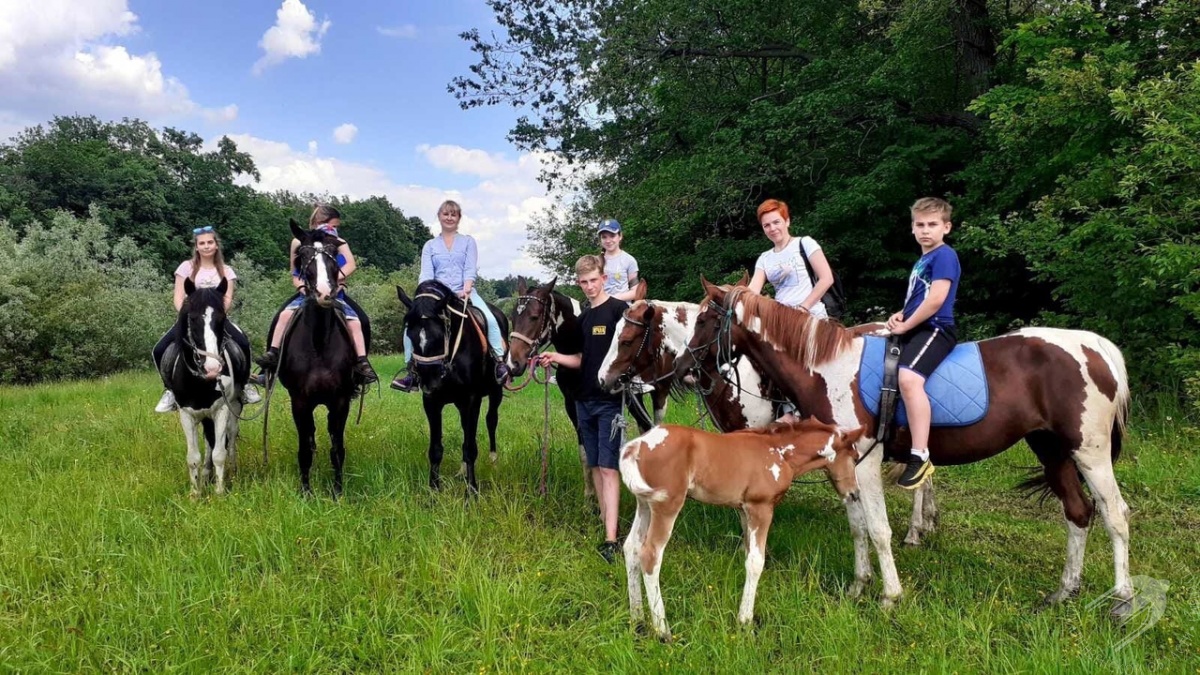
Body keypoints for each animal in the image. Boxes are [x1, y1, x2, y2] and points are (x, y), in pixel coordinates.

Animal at [159, 277, 248, 494]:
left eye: (222, 318)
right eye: (192, 319)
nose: (213, 368)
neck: (200, 382)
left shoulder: (222, 410)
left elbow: (219, 454)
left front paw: (219, 492)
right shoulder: (186, 414)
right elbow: (193, 457)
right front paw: (196, 493)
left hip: (234, 407)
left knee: (230, 438)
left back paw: (232, 473)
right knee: (209, 441)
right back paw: (207, 475)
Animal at [274, 220, 367, 494]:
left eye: (333, 256)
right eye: (303, 255)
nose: (326, 293)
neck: (318, 343)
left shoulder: (340, 401)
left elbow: (337, 450)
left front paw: (337, 491)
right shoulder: (299, 402)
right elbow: (304, 449)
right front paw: (306, 491)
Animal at [396, 278, 504, 494]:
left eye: (440, 335)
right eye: (409, 335)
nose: (431, 383)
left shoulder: (472, 400)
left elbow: (470, 447)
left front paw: (472, 492)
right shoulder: (431, 402)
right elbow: (436, 449)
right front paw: (433, 490)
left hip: (496, 393)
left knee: (491, 421)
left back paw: (493, 461)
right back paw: (462, 471)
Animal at [619, 417, 864, 638]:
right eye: (855, 458)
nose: (854, 494)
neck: (780, 452)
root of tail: (637, 445)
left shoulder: (744, 511)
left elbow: (747, 555)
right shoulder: (760, 508)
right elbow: (756, 562)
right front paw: (745, 622)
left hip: (645, 504)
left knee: (631, 548)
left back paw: (637, 620)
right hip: (667, 504)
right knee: (650, 554)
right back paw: (663, 632)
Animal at [681, 278, 1128, 614]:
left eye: (704, 319)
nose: (686, 369)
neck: (828, 369)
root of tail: (1097, 348)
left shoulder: (865, 461)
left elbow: (879, 529)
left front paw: (889, 595)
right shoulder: (842, 463)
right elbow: (858, 525)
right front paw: (859, 585)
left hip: (1089, 452)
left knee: (1115, 515)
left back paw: (1122, 602)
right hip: (1051, 449)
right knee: (1078, 512)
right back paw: (1064, 592)